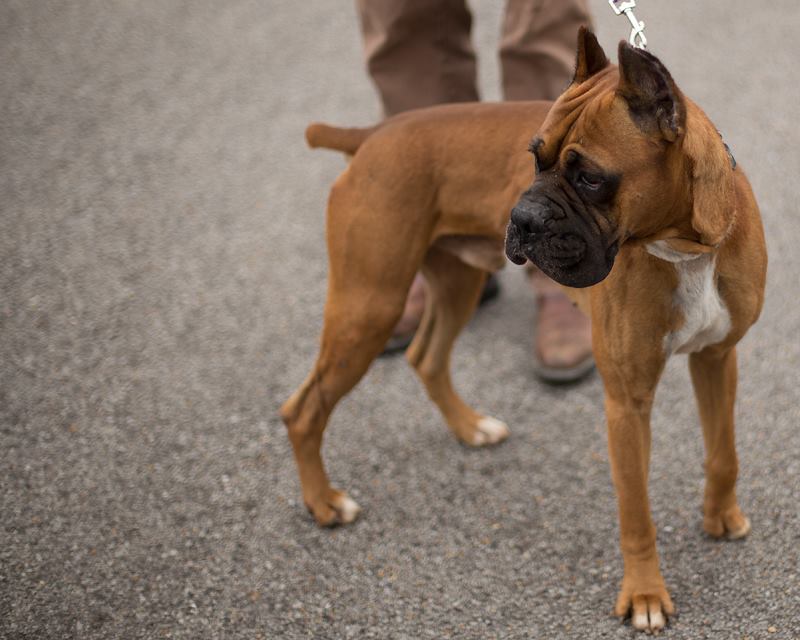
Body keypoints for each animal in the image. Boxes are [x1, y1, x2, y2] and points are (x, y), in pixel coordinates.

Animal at [282, 28, 768, 632]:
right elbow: (636, 513)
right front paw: (645, 594)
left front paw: (721, 515)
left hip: (456, 282)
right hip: (369, 305)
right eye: (534, 160)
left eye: (590, 178)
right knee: (303, 410)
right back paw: (324, 503)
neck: (685, 245)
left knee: (427, 357)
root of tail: (373, 135)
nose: (523, 215)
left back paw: (470, 428)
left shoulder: (717, 357)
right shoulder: (627, 405)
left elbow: (724, 452)